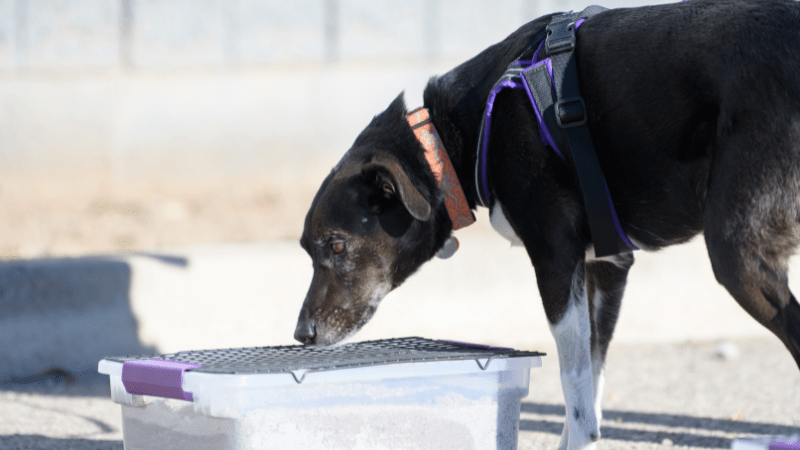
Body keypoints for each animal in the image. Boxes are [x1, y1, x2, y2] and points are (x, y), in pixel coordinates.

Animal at [294, 1, 800, 448]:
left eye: (336, 246)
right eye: (308, 250)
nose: (302, 334)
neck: (455, 134)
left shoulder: (556, 262)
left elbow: (576, 398)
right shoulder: (607, 268)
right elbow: (592, 384)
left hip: (738, 254)